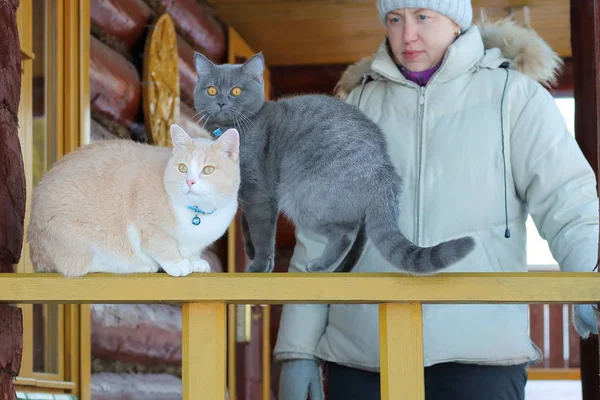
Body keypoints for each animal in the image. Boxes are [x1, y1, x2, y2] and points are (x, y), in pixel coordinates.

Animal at [27, 123, 239, 276]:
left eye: (208, 170)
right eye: (182, 168)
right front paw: (178, 264)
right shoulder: (149, 227)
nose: (190, 181)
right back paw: (141, 267)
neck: (196, 213)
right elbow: (164, 247)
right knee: (83, 268)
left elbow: (193, 252)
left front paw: (196, 262)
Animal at [192, 51, 474, 274]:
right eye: (211, 90)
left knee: (345, 232)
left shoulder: (259, 191)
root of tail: (385, 171)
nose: (221, 101)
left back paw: (320, 265)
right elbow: (246, 224)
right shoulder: (250, 194)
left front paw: (260, 265)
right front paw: (251, 251)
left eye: (236, 91)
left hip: (304, 196)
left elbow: (262, 232)